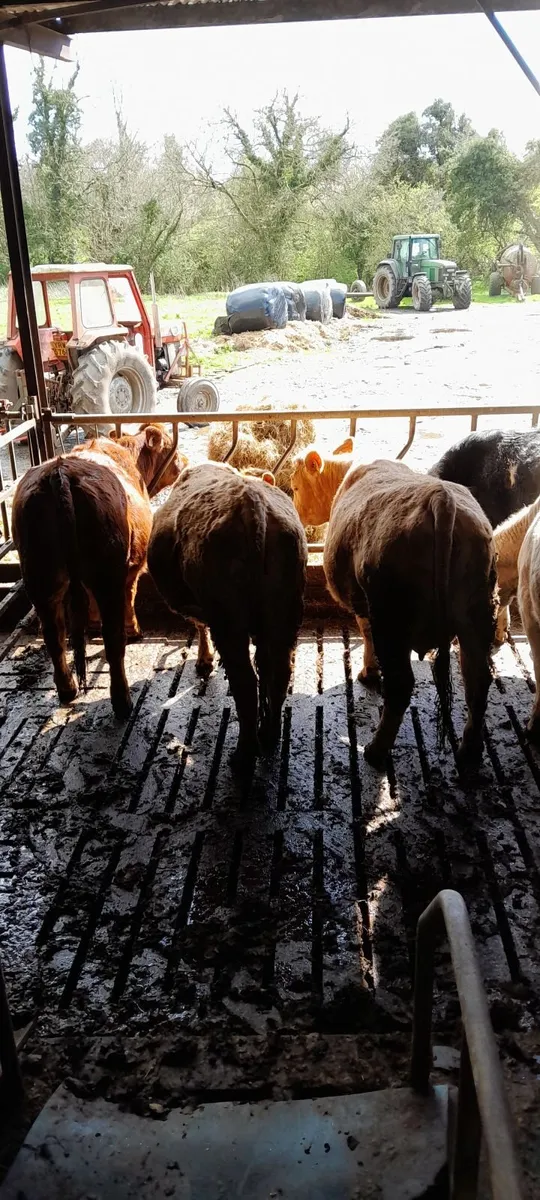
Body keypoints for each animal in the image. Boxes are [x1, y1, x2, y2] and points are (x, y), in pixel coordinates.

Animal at [13, 423, 184, 720]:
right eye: (168, 447)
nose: (184, 459)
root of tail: (60, 473)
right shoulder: (131, 569)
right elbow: (130, 596)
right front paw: (135, 629)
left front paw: (92, 622)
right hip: (106, 577)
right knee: (112, 638)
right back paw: (122, 701)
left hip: (40, 578)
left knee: (54, 635)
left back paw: (67, 688)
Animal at [147, 461, 308, 772]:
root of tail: (250, 503)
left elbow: (200, 626)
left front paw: (205, 661)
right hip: (285, 614)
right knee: (279, 672)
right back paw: (269, 734)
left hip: (229, 618)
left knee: (245, 681)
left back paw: (244, 754)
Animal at [291, 446, 497, 771]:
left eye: (296, 486)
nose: (296, 514)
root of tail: (440, 498)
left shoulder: (364, 603)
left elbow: (366, 633)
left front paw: (369, 672)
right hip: (477, 612)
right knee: (477, 680)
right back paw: (469, 753)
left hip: (391, 615)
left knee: (401, 685)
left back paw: (376, 750)